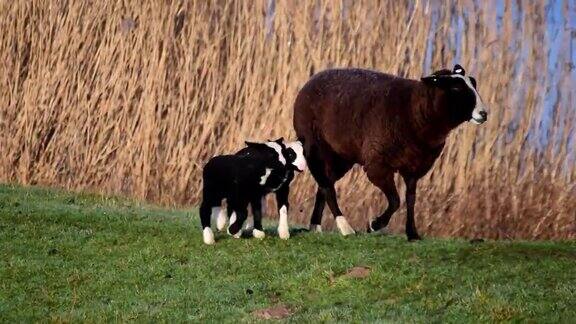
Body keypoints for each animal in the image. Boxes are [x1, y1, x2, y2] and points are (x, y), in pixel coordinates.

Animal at [292, 64, 486, 240]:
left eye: (474, 84)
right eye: (456, 88)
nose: (483, 114)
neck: (415, 110)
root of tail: (311, 81)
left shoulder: (415, 167)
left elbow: (410, 199)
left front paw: (412, 233)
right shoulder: (378, 165)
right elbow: (395, 200)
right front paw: (375, 224)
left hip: (341, 156)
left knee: (325, 183)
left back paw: (315, 226)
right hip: (315, 145)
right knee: (325, 184)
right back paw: (345, 227)